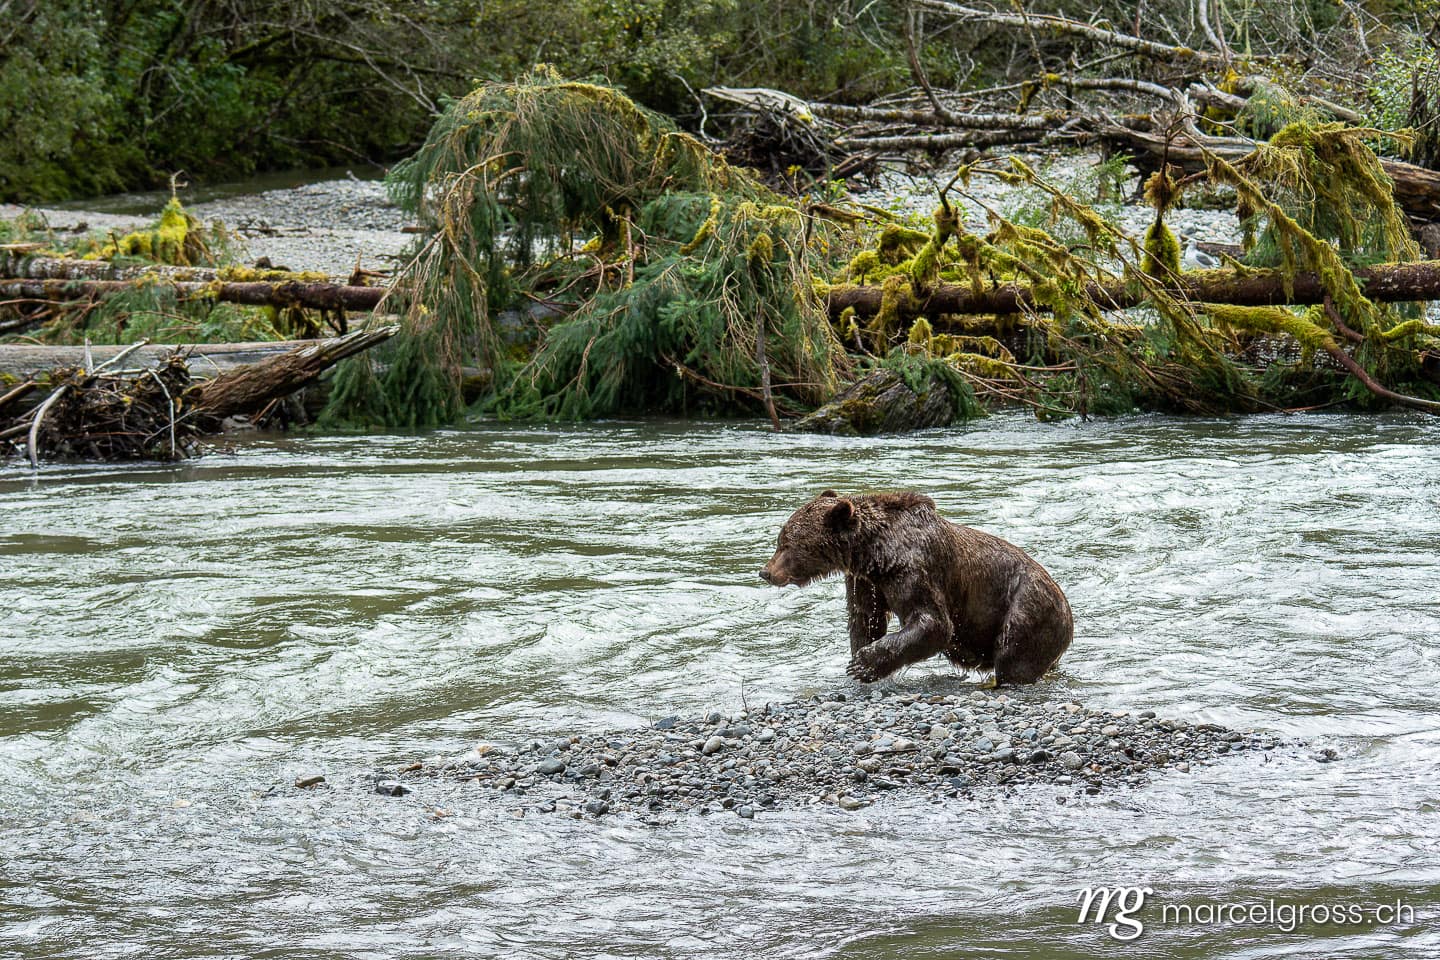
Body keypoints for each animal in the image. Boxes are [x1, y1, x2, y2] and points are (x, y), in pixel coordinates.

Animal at [759, 490, 1072, 686]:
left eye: (785, 543)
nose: (765, 572)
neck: (875, 553)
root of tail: (1069, 612)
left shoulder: (913, 569)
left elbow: (933, 623)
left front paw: (863, 664)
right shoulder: (867, 582)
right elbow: (866, 620)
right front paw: (860, 657)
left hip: (1027, 608)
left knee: (1013, 655)